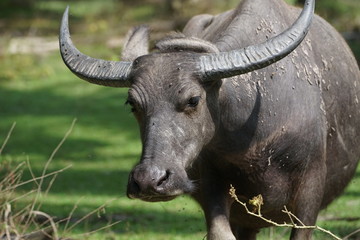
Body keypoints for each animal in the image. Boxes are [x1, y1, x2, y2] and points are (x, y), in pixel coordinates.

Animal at [59, 0, 360, 239]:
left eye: (193, 99)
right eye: (132, 103)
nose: (148, 180)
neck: (254, 141)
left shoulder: (310, 189)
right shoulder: (213, 182)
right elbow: (219, 233)